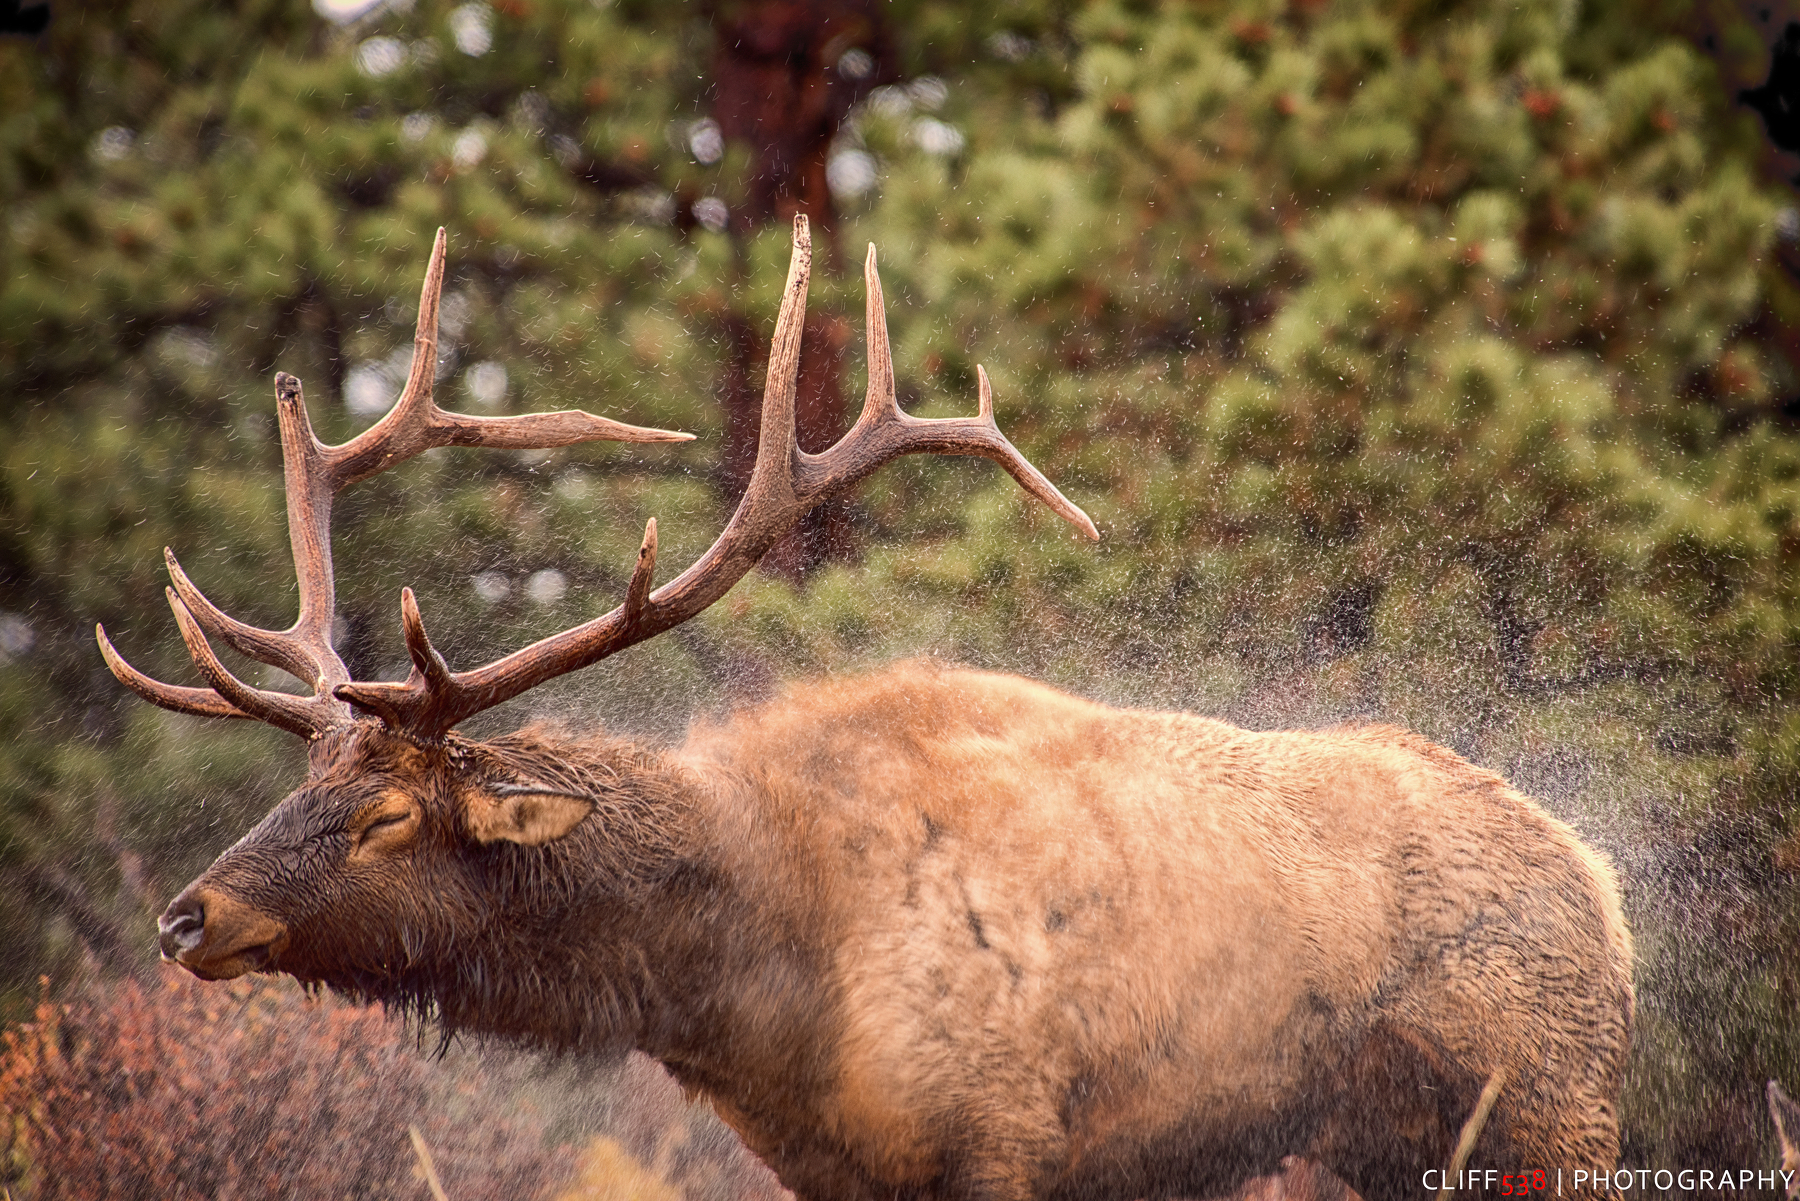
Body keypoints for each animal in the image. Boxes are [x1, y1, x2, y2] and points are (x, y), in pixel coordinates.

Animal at [98, 216, 1634, 1201]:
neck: (762, 982)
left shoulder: (1008, 1133)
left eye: (387, 816)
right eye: (297, 788)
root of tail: (1608, 888)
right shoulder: (832, 1171)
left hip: (1555, 1108)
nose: (185, 917)